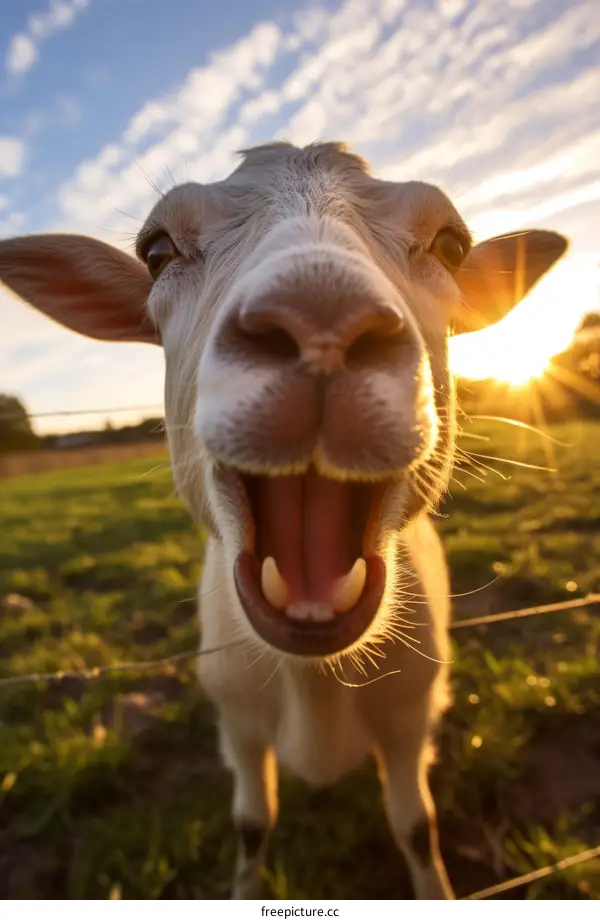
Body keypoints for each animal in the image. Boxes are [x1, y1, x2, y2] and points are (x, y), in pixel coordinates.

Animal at [0, 141, 567, 899]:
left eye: (451, 245)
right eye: (156, 250)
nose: (321, 320)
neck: (314, 678)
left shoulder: (408, 719)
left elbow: (416, 825)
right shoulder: (237, 722)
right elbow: (252, 825)